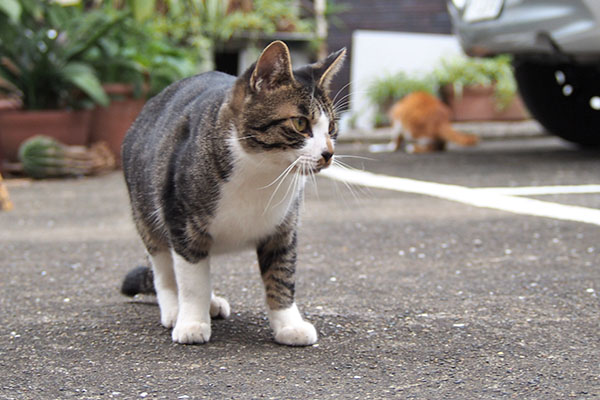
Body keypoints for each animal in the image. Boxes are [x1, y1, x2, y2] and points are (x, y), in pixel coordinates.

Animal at [120, 41, 346, 346]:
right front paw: (192, 322)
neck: (262, 173)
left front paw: (289, 325)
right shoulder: (181, 223)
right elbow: (192, 281)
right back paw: (174, 309)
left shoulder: (283, 229)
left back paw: (212, 303)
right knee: (165, 269)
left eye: (331, 128)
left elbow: (282, 276)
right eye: (300, 124)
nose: (328, 154)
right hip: (148, 216)